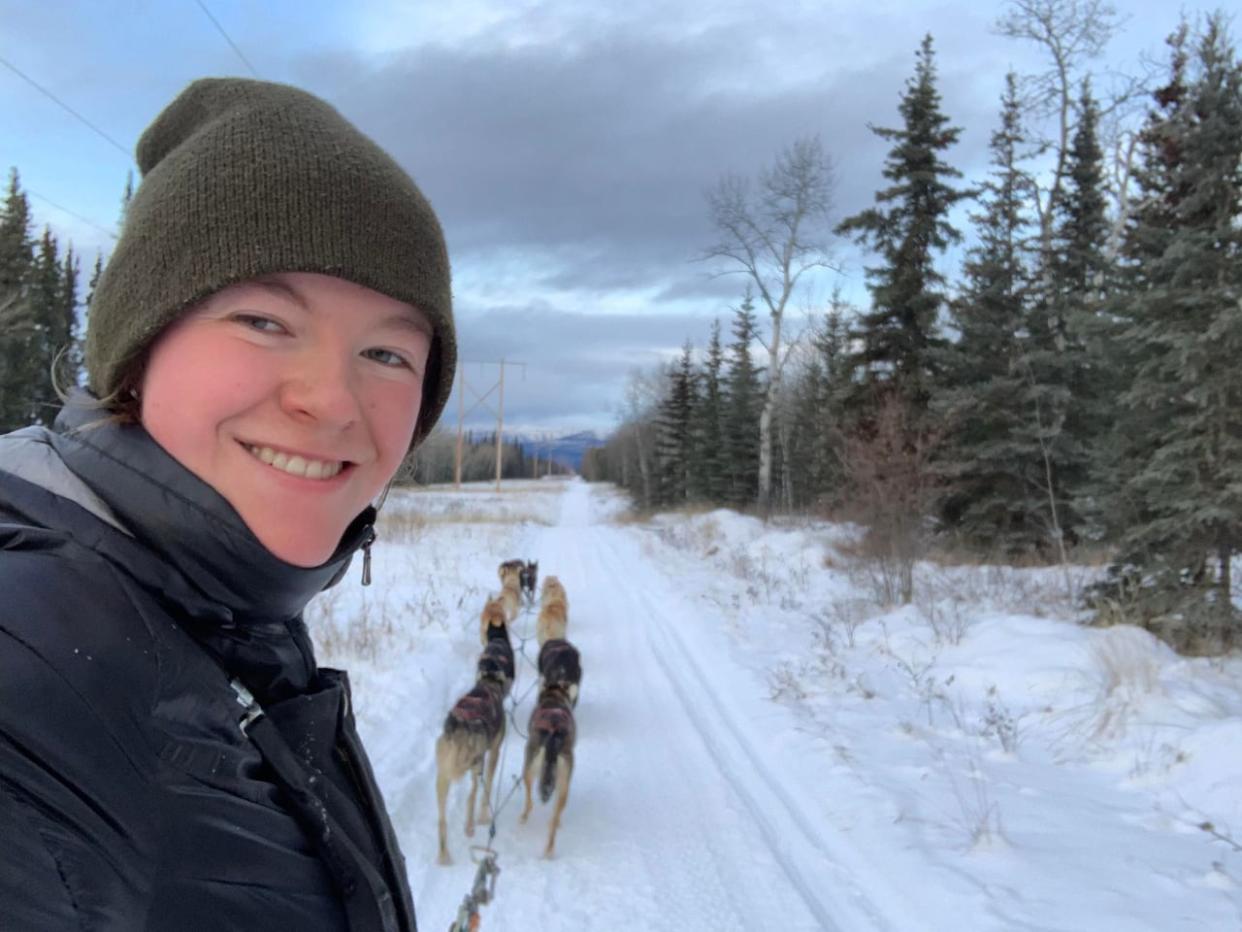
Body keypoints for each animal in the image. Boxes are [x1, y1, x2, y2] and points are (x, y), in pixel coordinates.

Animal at [434, 671, 506, 869]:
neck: (488, 683)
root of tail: (461, 725)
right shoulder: (494, 752)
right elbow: (486, 787)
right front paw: (483, 817)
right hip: (476, 764)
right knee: (472, 795)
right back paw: (470, 826)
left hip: (443, 776)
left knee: (442, 820)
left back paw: (444, 855)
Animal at [519, 680, 576, 859]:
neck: (554, 697)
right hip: (564, 785)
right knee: (555, 818)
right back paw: (549, 848)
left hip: (529, 769)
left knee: (529, 801)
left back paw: (524, 816)